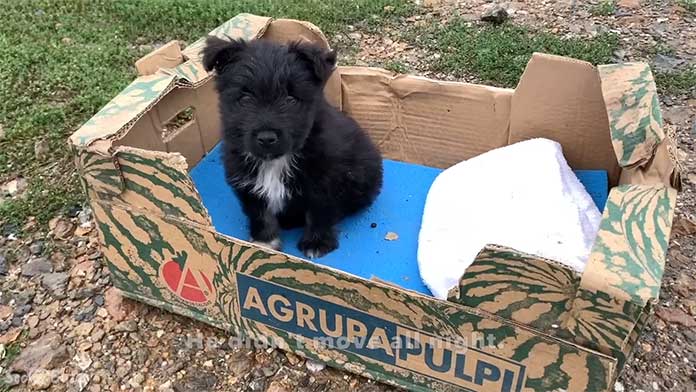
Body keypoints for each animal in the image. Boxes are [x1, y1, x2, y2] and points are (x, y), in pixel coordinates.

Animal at [201, 36, 384, 258]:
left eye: (290, 98)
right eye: (245, 98)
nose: (266, 138)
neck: (276, 161)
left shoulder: (324, 182)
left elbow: (319, 213)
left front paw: (316, 242)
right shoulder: (248, 185)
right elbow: (260, 213)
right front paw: (265, 241)